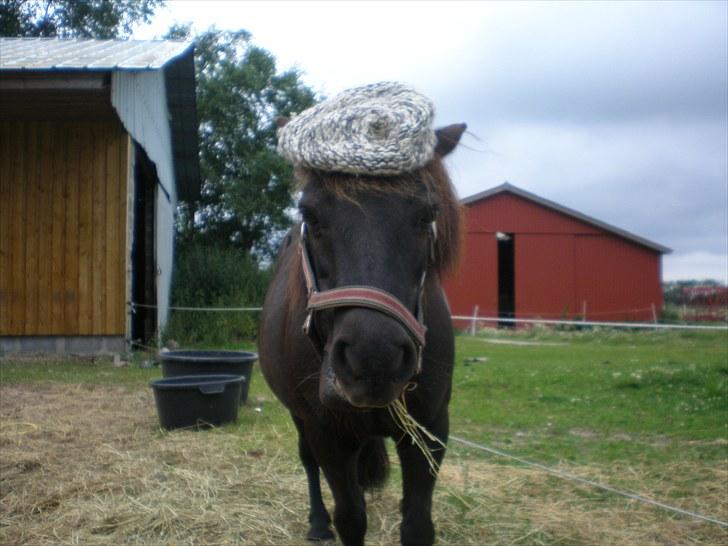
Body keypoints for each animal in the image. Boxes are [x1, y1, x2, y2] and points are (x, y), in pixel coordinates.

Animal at [259, 117, 466, 545]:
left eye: (427, 214)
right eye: (310, 215)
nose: (374, 358)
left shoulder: (429, 429)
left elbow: (417, 524)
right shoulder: (327, 434)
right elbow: (351, 518)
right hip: (300, 419)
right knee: (308, 463)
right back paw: (317, 523)